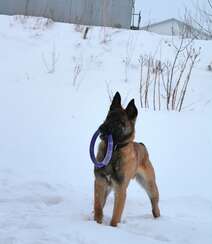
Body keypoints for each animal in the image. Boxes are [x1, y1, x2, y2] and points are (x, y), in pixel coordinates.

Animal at [93, 92, 160, 227]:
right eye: (108, 117)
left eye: (118, 121)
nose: (101, 128)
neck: (114, 150)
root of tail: (141, 145)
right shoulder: (100, 183)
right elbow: (98, 206)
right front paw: (96, 222)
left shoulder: (120, 189)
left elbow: (116, 214)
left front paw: (113, 227)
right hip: (108, 188)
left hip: (149, 185)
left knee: (155, 202)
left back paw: (157, 217)